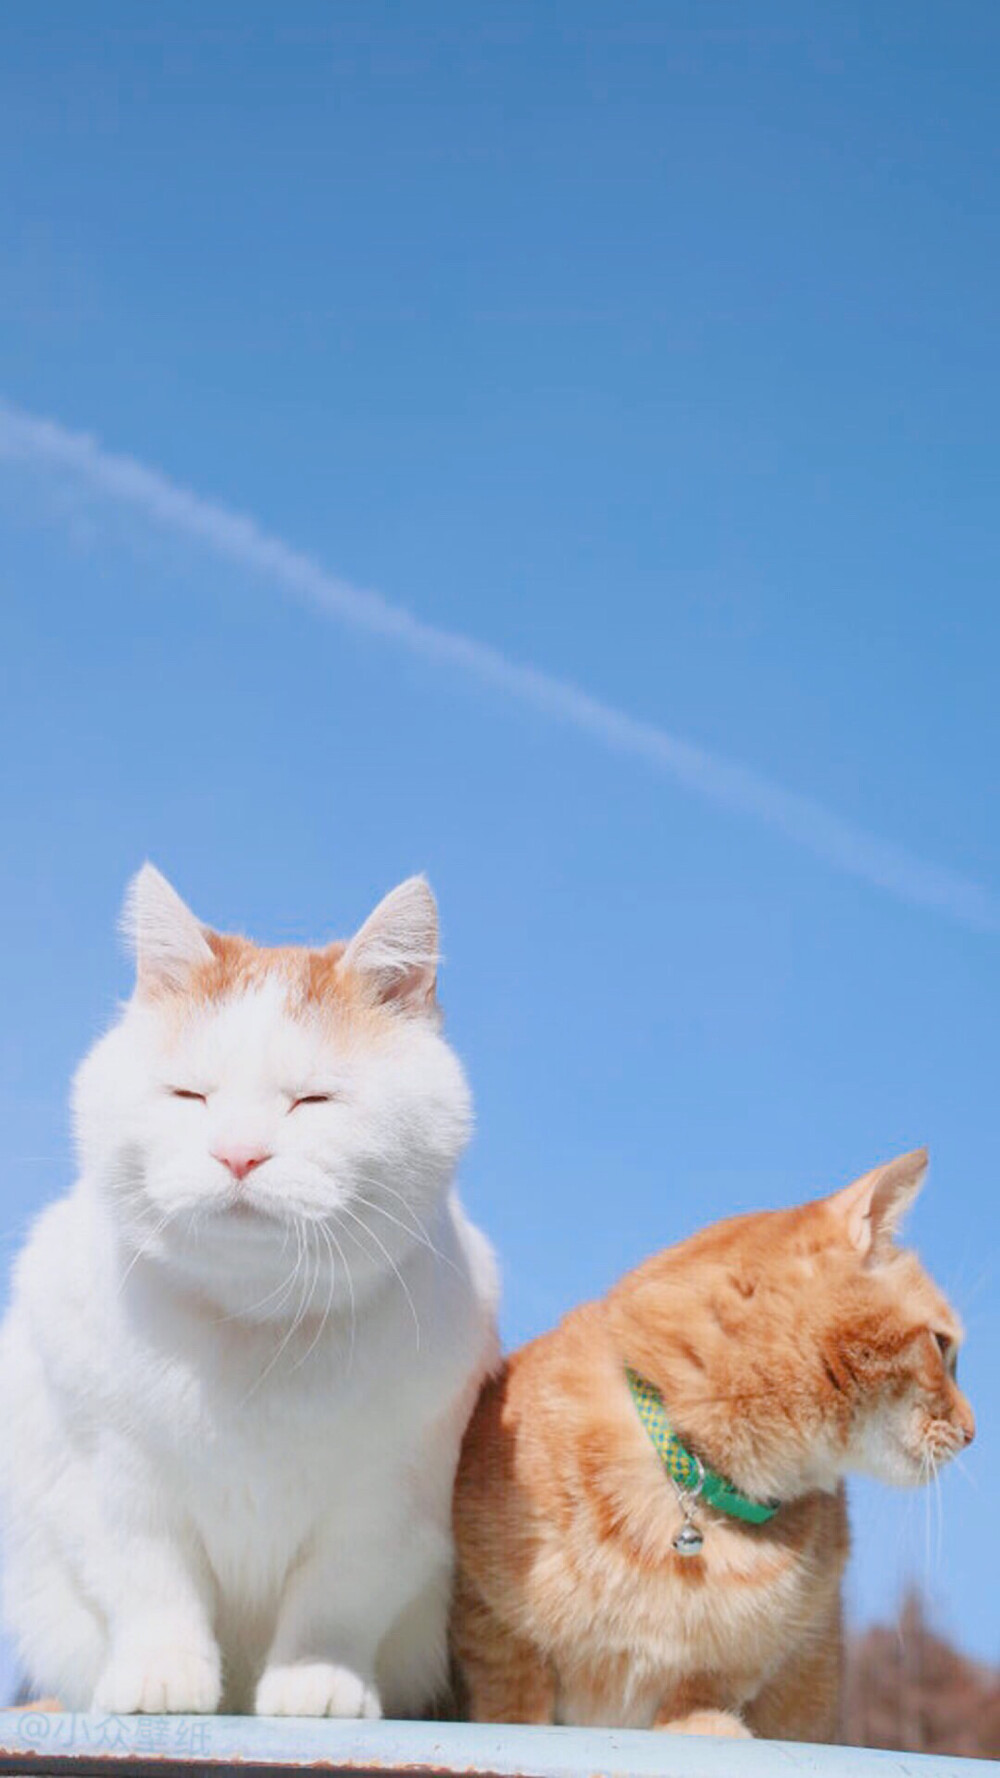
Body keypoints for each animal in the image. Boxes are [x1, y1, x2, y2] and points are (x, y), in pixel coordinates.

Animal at [0, 867, 498, 1713]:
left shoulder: (388, 1501)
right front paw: (161, 1673)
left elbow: (336, 1600)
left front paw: (317, 1679)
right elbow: (152, 1587)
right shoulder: (111, 1483)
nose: (238, 1153)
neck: (254, 1327)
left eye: (313, 1100)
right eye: (189, 1096)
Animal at [451, 1145, 975, 1742]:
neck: (696, 1478)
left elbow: (699, 1686)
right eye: (941, 1344)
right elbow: (513, 1692)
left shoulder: (764, 1654)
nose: (972, 1430)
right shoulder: (485, 1614)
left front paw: (702, 1725)